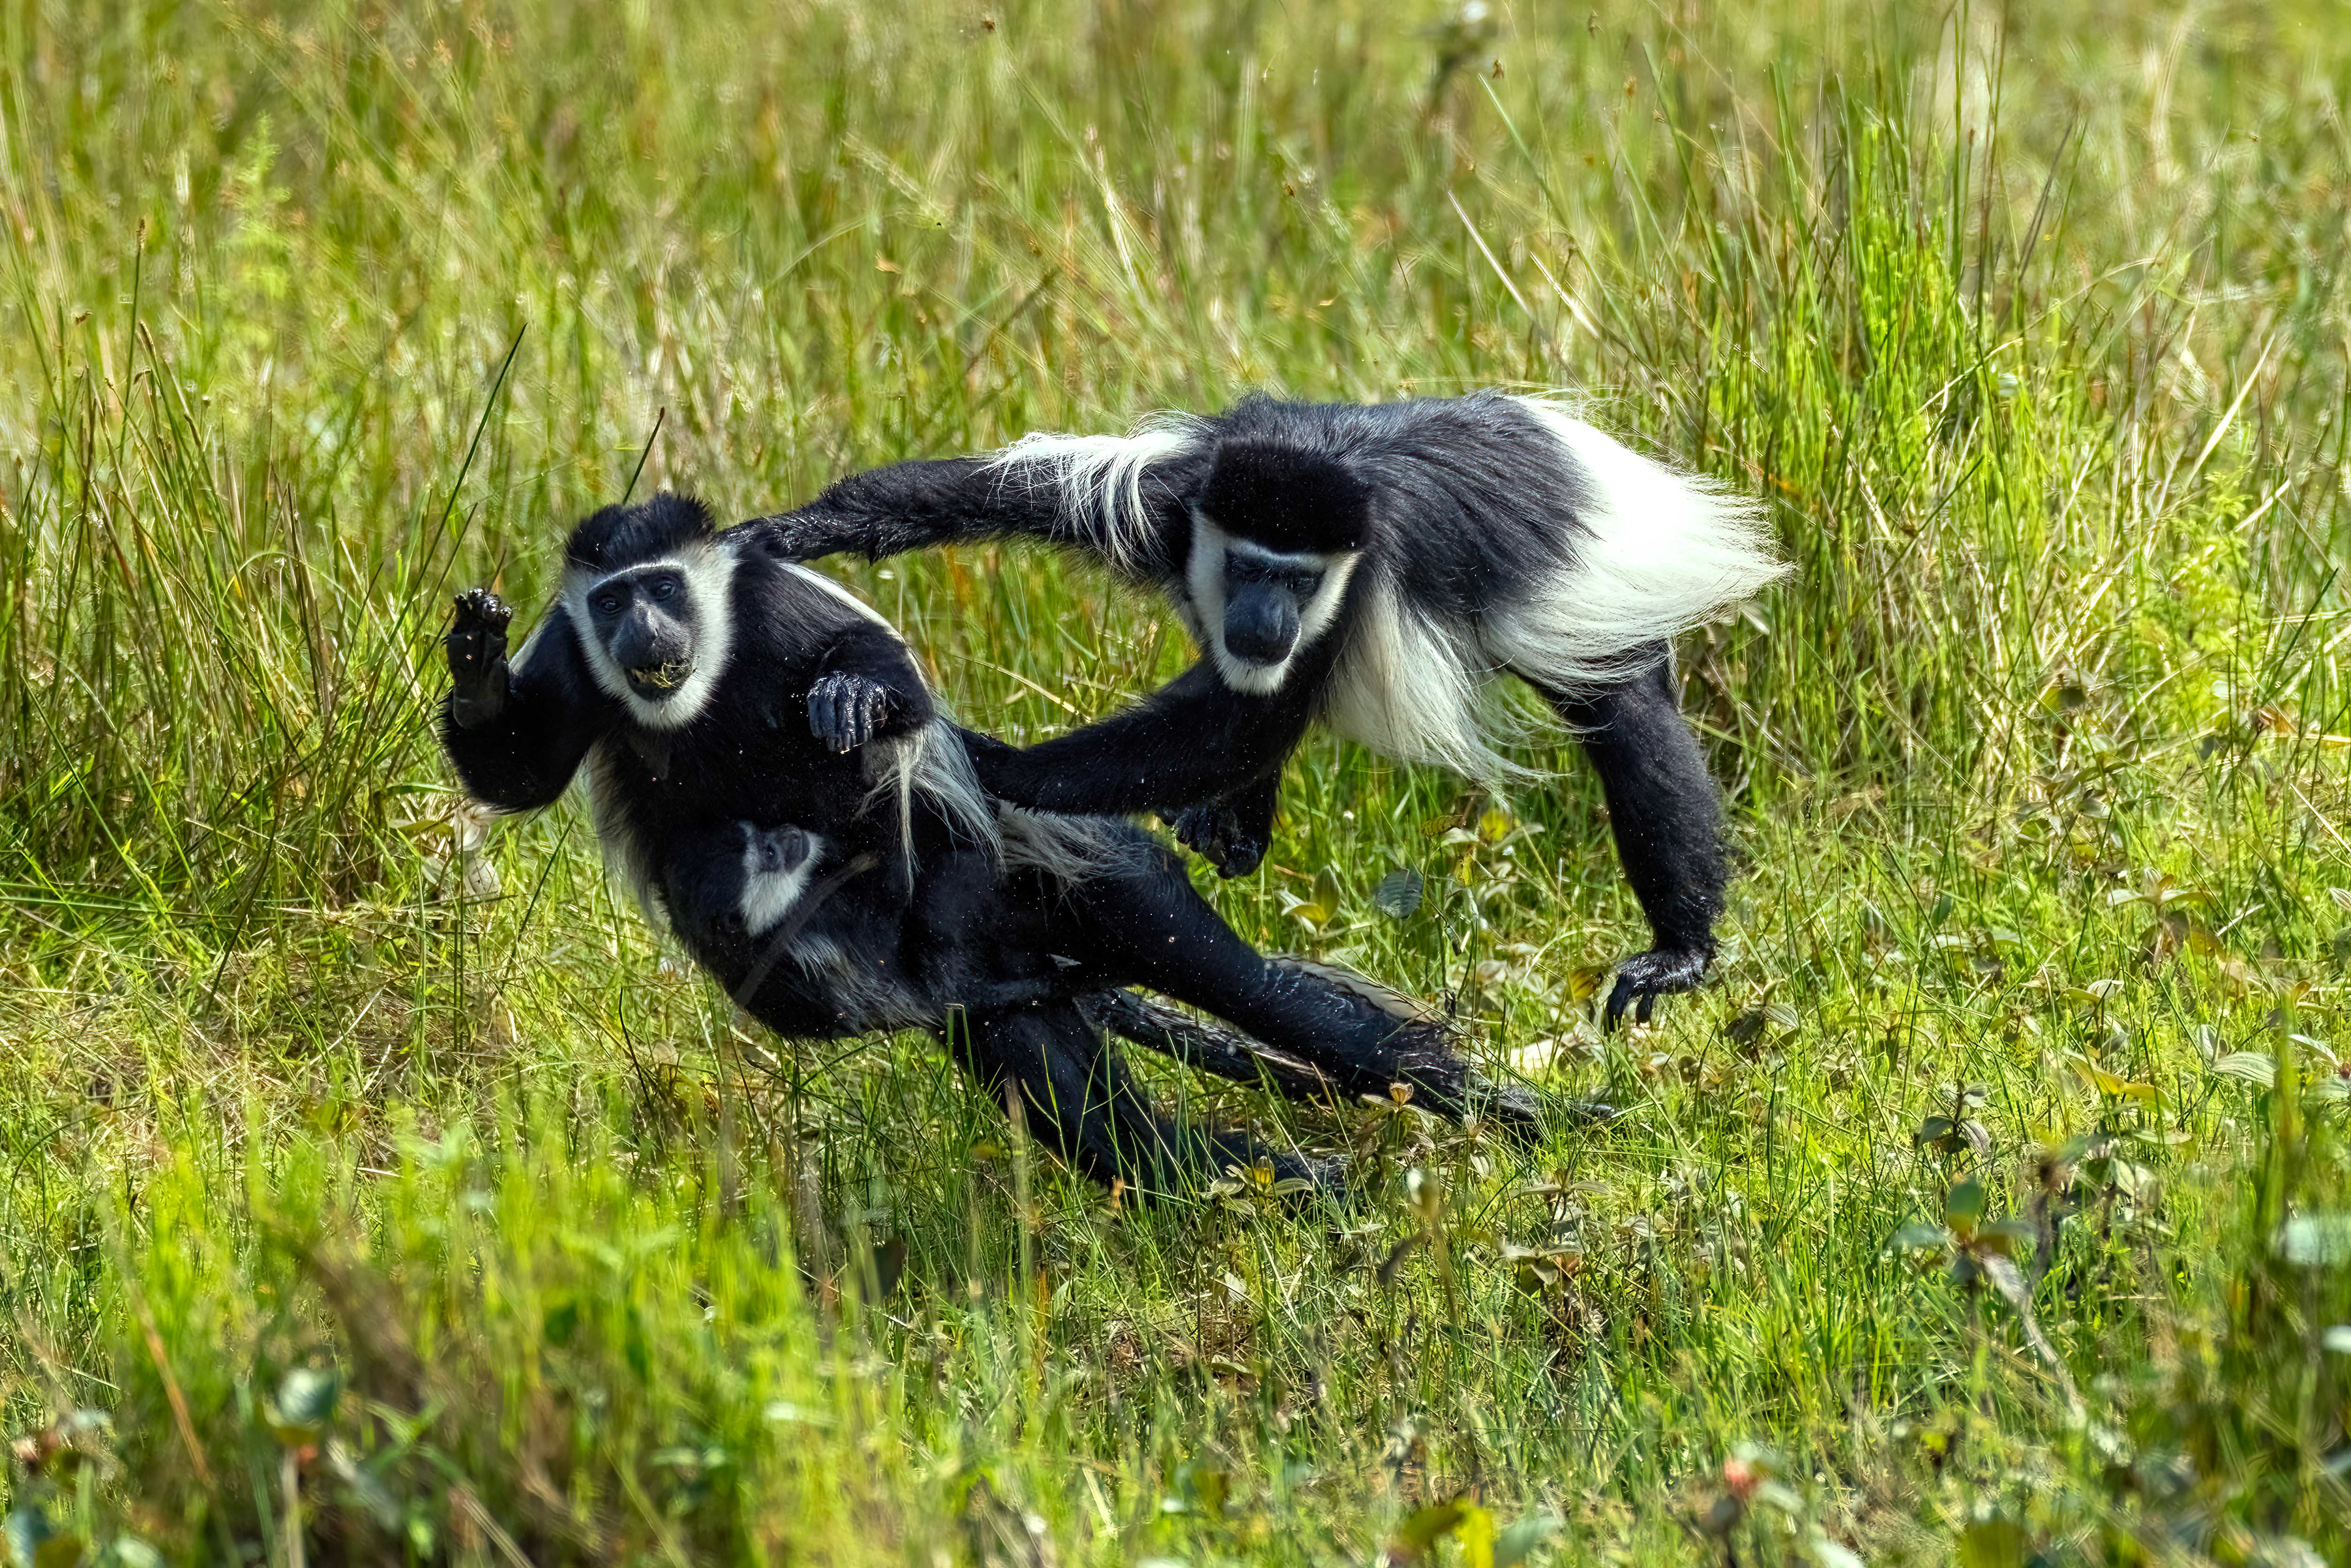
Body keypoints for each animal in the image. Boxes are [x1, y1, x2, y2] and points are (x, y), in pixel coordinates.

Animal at [438, 493, 1536, 1198]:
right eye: (613, 599)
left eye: (662, 587)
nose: (646, 628)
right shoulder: (573, 647)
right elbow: (518, 777)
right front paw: (477, 663)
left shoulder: (772, 606)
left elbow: (886, 695)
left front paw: (855, 696)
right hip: (971, 986)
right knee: (1060, 1085)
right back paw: (1232, 1178)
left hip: (1059, 878)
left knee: (1241, 982)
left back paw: (1503, 1111)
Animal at [749, 391, 1786, 1025]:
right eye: (1250, 566)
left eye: (1299, 579)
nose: (1262, 617)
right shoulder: (1170, 508)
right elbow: (983, 492)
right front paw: (794, 535)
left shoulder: (1354, 594)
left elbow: (1235, 727)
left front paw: (982, 755)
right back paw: (1237, 827)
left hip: (1595, 591)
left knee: (1628, 720)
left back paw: (1679, 949)